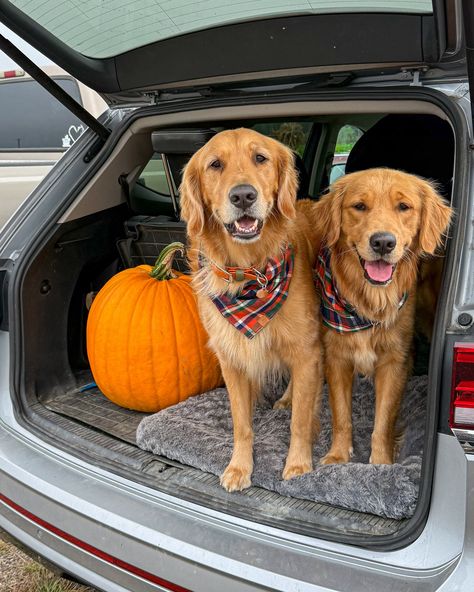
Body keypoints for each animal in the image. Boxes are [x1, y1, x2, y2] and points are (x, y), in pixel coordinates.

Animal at [180, 128, 324, 490]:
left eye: (260, 158)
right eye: (215, 164)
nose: (243, 196)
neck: (249, 274)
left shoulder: (306, 349)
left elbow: (300, 421)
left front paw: (298, 464)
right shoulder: (231, 358)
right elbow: (241, 423)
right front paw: (239, 467)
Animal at [308, 169, 452, 464]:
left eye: (404, 207)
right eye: (359, 206)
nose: (383, 242)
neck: (369, 305)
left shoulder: (394, 361)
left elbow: (384, 419)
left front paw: (382, 462)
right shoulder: (337, 357)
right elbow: (341, 415)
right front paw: (338, 455)